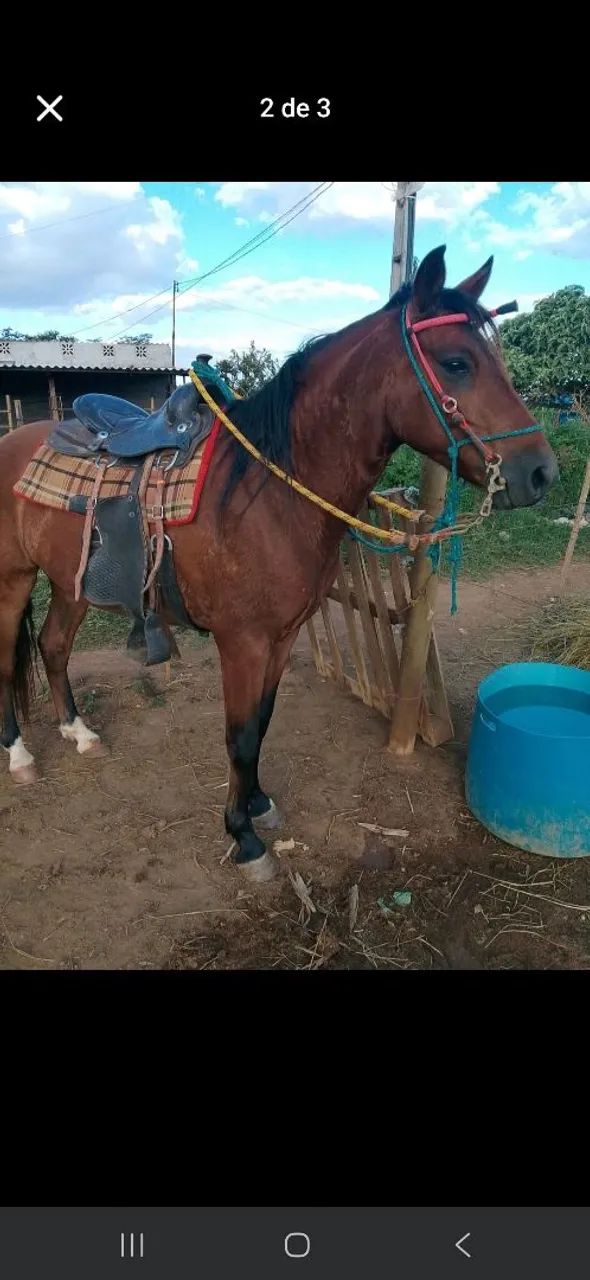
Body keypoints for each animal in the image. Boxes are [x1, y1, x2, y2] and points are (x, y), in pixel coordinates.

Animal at [0, 246, 559, 882]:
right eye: (458, 362)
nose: (541, 472)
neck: (268, 490)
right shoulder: (241, 641)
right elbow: (240, 735)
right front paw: (243, 837)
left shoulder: (284, 634)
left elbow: (263, 723)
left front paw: (258, 803)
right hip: (13, 581)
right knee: (7, 662)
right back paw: (19, 755)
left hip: (70, 583)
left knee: (53, 647)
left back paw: (79, 734)